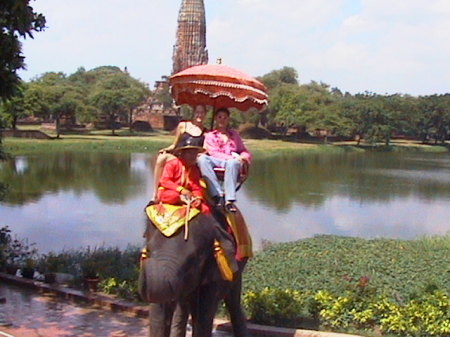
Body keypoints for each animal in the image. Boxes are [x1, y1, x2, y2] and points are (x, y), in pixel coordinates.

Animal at [138, 207, 250, 336]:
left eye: (193, 259)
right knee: (183, 308)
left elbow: (204, 313)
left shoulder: (215, 270)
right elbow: (159, 312)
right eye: (148, 250)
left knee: (233, 302)